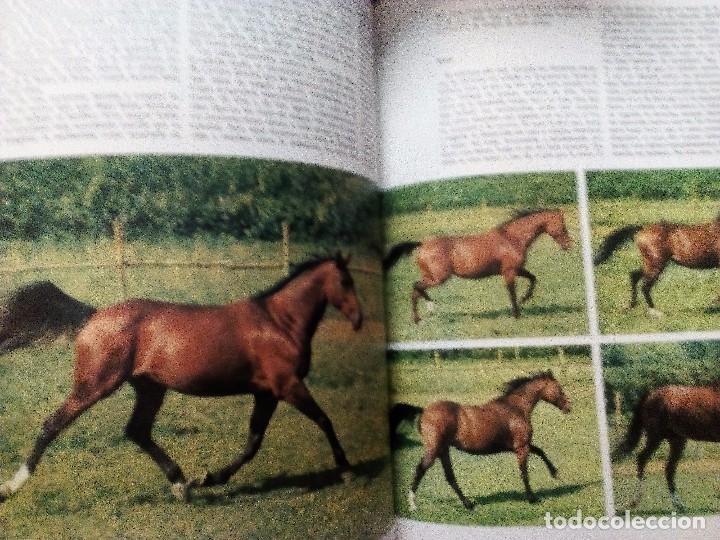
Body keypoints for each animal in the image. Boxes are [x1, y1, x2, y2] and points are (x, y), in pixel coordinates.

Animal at [0, 254, 363, 503]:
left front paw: (209, 478)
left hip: (150, 388)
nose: (359, 319)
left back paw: (181, 485)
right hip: (97, 384)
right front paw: (346, 470)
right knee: (53, 424)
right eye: (346, 281)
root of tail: (94, 316)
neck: (278, 323)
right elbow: (323, 420)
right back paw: (12, 486)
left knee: (138, 431)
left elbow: (253, 442)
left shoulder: (267, 393)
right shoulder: (288, 386)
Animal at [383, 209, 572, 322]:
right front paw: (516, 314)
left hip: (430, 276)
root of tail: (422, 245)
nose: (568, 245)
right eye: (562, 225)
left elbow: (533, 278)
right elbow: (512, 292)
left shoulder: (516, 270)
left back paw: (419, 318)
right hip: (439, 278)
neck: (511, 239)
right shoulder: (509, 271)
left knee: (416, 290)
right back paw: (429, 309)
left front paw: (524, 299)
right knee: (416, 287)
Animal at [392, 370, 571, 510]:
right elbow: (524, 473)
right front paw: (532, 499)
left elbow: (540, 451)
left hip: (443, 450)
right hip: (434, 449)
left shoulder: (518, 445)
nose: (568, 407)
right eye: (559, 389)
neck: (516, 409)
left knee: (449, 476)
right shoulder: (521, 447)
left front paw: (555, 473)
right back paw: (413, 504)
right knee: (421, 469)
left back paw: (468, 504)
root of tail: (424, 411)